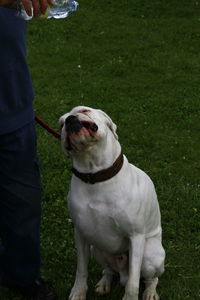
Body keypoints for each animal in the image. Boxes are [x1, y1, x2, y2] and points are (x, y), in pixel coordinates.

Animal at [59, 106, 166, 300]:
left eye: (84, 110)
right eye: (60, 123)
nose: (69, 120)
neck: (94, 176)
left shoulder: (136, 236)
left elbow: (133, 283)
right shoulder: (81, 234)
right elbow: (81, 269)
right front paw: (78, 291)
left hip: (150, 255)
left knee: (150, 277)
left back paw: (150, 292)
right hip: (97, 248)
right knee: (108, 270)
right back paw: (104, 283)